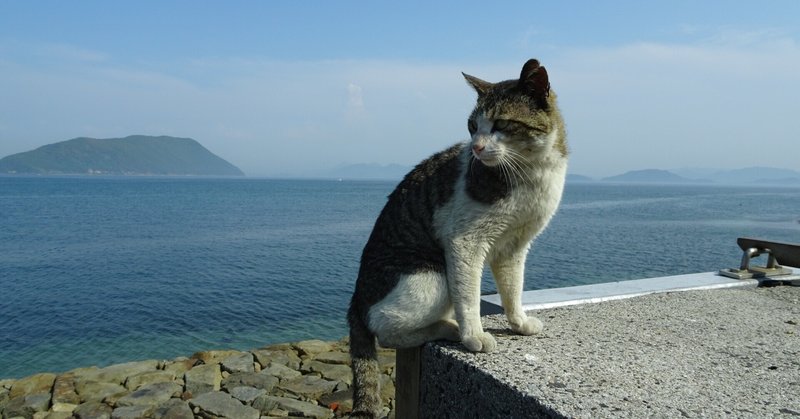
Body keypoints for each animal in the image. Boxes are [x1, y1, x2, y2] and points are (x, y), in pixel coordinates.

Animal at [346, 60, 564, 419]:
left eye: (501, 123)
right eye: (472, 126)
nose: (476, 147)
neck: (528, 173)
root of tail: (355, 298)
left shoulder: (515, 246)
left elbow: (513, 288)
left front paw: (518, 322)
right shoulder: (465, 241)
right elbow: (469, 296)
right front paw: (474, 336)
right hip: (431, 278)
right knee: (387, 328)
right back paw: (448, 328)